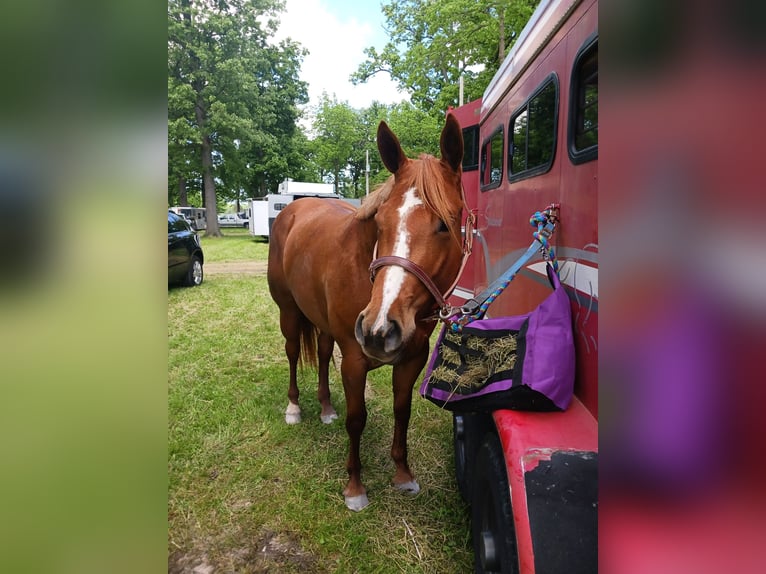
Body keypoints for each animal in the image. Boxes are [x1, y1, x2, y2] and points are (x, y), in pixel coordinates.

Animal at [267, 115, 467, 511]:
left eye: (444, 224)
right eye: (382, 222)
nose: (379, 328)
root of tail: (292, 211)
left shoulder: (413, 358)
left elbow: (402, 410)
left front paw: (403, 475)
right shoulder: (355, 360)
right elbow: (357, 418)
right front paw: (355, 487)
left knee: (323, 355)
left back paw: (326, 408)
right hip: (290, 313)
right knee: (294, 353)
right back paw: (294, 409)